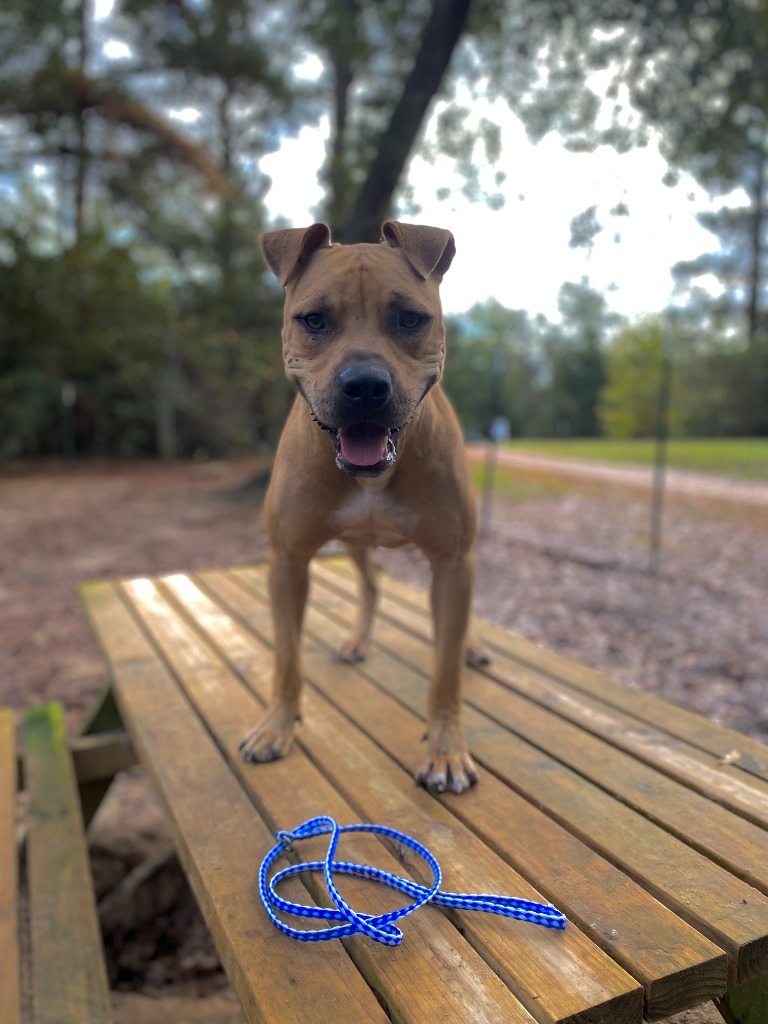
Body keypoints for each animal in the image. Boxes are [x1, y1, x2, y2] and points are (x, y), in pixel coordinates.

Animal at [239, 222, 487, 790]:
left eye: (410, 318)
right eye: (313, 320)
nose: (365, 385)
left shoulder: (451, 561)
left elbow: (445, 674)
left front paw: (446, 748)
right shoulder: (287, 562)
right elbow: (287, 658)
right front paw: (276, 726)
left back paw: (468, 645)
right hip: (353, 541)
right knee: (371, 583)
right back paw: (357, 640)